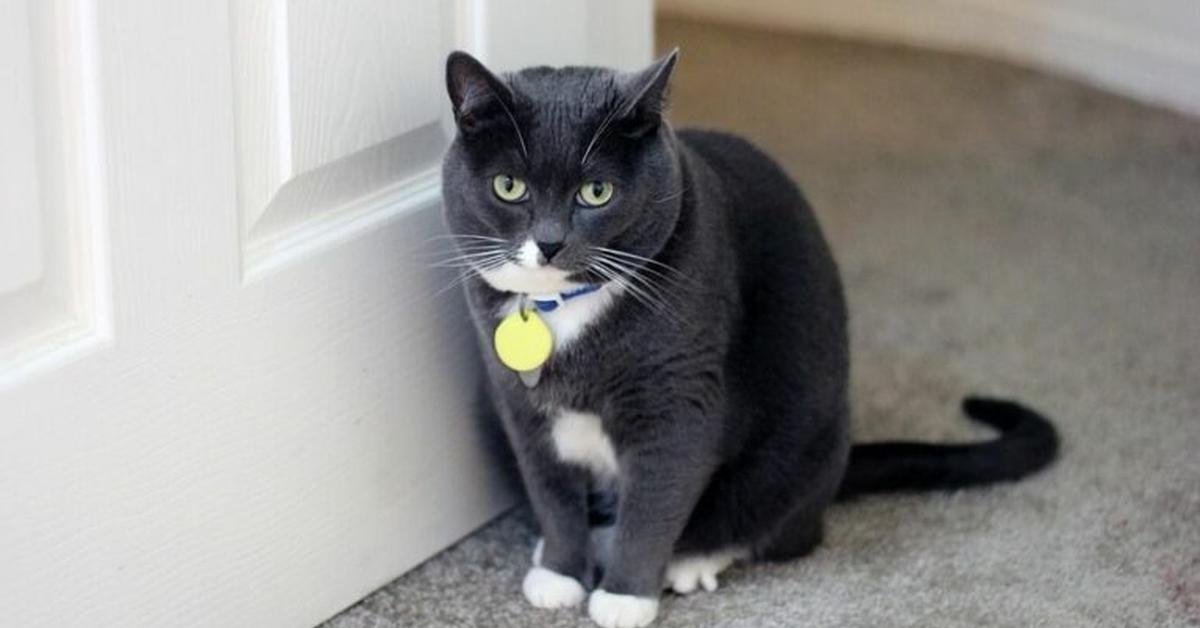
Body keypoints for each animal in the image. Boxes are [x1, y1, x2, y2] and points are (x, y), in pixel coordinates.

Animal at [441, 49, 1060, 628]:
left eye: (597, 192)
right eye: (509, 186)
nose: (549, 243)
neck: (562, 310)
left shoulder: (679, 400)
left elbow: (654, 504)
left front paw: (624, 597)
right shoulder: (519, 408)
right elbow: (551, 490)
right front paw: (560, 575)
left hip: (798, 447)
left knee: (779, 530)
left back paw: (692, 560)